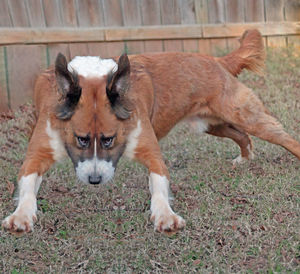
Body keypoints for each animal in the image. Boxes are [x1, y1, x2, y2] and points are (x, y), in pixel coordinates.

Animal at [2, 30, 300, 235]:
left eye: (110, 139)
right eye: (81, 139)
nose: (95, 181)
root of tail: (217, 60)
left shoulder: (149, 149)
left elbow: (159, 184)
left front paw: (165, 215)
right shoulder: (39, 151)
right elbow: (27, 183)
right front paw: (21, 215)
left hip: (245, 115)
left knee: (281, 136)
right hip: (211, 124)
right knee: (243, 136)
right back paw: (244, 158)